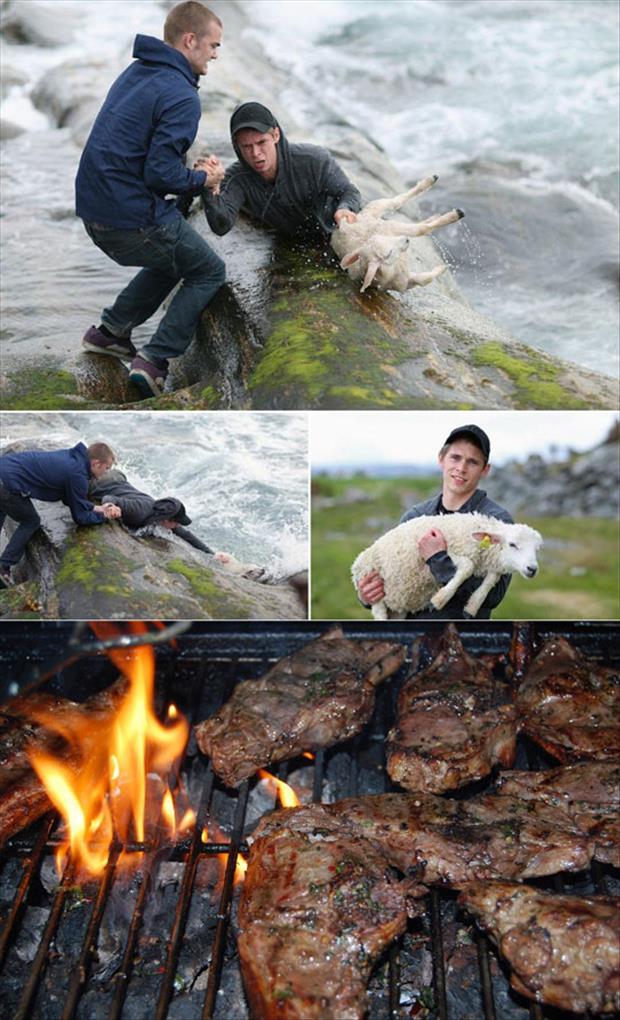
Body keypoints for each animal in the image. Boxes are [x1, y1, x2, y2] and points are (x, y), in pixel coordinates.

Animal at [330, 174, 464, 293]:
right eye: (388, 253)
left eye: (382, 237)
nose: (406, 240)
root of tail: (343, 225)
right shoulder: (405, 282)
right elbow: (424, 280)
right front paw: (443, 268)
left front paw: (443, 268)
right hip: (385, 220)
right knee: (414, 221)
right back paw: (454, 214)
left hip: (378, 212)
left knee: (396, 201)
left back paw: (430, 182)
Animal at [351, 513, 543, 620]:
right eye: (512, 544)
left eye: (537, 549)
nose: (532, 569)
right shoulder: (446, 551)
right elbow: (467, 567)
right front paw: (440, 598)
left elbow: (491, 580)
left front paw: (472, 605)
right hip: (373, 584)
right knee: (378, 613)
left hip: (398, 608)